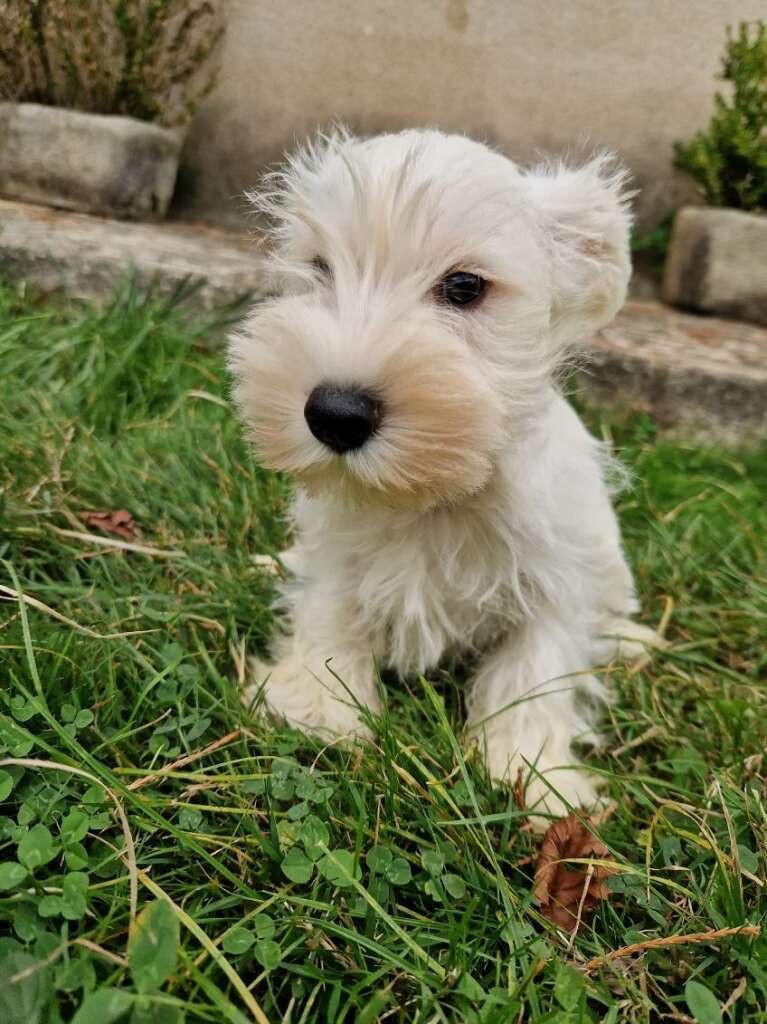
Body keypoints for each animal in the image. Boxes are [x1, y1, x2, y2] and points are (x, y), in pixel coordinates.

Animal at [229, 125, 659, 823]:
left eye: (464, 287)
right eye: (320, 269)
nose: (333, 414)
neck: (440, 495)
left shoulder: (558, 579)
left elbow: (535, 670)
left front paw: (534, 773)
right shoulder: (338, 553)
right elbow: (329, 613)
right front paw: (318, 709)